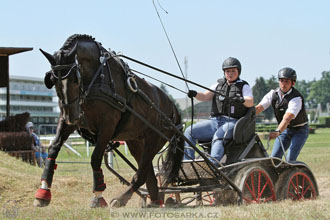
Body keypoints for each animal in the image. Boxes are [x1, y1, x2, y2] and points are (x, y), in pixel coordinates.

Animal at [34, 34, 184, 208]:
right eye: (53, 80)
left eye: (75, 79)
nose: (72, 117)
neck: (96, 78)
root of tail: (173, 108)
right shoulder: (67, 120)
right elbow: (54, 148)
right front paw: (43, 192)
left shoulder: (107, 126)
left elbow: (95, 158)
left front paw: (98, 197)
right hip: (136, 141)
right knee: (149, 174)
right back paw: (154, 201)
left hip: (154, 140)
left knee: (141, 173)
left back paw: (121, 199)